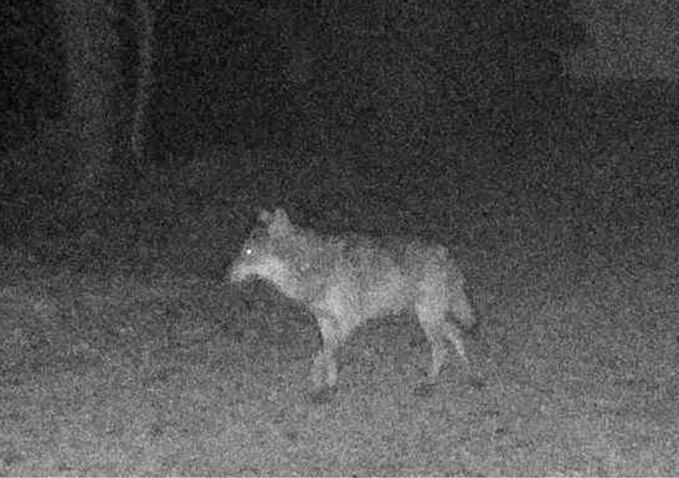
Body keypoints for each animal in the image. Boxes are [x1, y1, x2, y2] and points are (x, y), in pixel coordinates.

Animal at [229, 208, 476, 395]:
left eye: (248, 252)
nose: (226, 275)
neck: (308, 265)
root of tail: (445, 253)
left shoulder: (347, 321)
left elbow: (323, 355)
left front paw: (317, 384)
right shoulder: (324, 321)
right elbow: (327, 355)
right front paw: (329, 384)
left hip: (427, 317)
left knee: (442, 346)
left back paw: (430, 381)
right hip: (431, 316)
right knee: (455, 334)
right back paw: (470, 372)